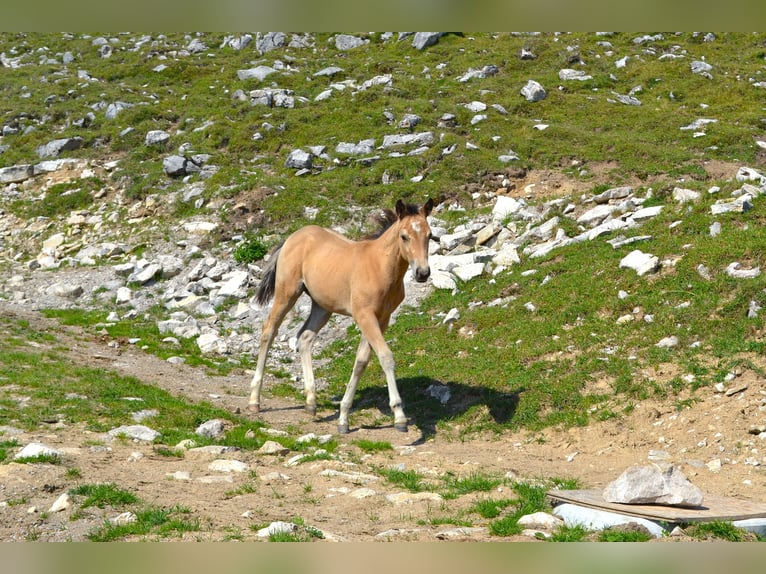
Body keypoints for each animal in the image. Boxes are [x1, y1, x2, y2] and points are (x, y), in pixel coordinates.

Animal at [248, 198, 434, 434]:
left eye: (430, 235)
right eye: (404, 236)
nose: (422, 273)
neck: (380, 267)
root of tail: (292, 236)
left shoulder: (381, 318)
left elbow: (362, 360)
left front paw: (344, 417)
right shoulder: (364, 316)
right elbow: (385, 357)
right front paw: (399, 416)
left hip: (322, 305)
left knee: (304, 337)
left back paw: (311, 402)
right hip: (287, 293)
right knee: (268, 331)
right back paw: (254, 401)